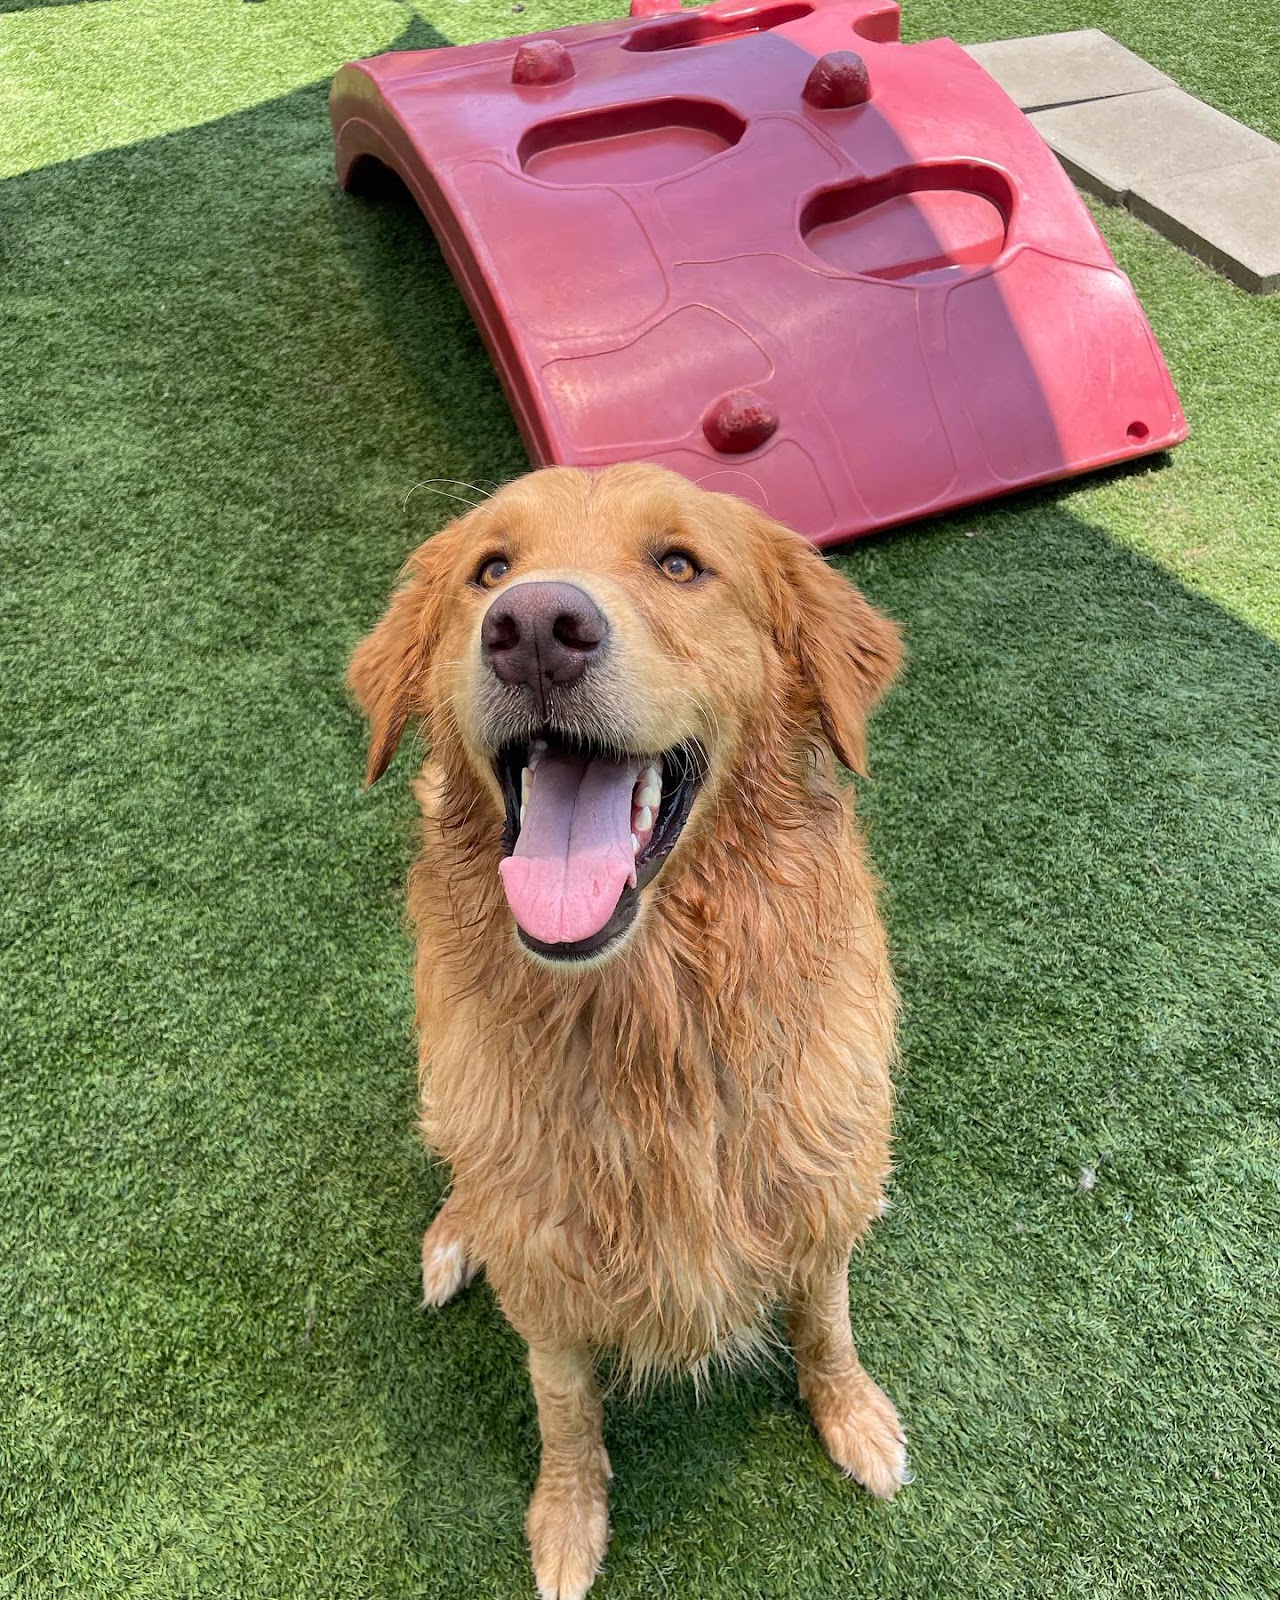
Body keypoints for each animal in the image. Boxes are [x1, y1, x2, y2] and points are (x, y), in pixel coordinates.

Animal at [350, 457, 902, 1593]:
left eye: (680, 564)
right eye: (490, 570)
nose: (534, 627)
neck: (651, 1024)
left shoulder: (822, 1178)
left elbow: (825, 1318)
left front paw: (854, 1416)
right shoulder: (547, 1268)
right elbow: (562, 1404)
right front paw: (567, 1518)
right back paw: (455, 1233)